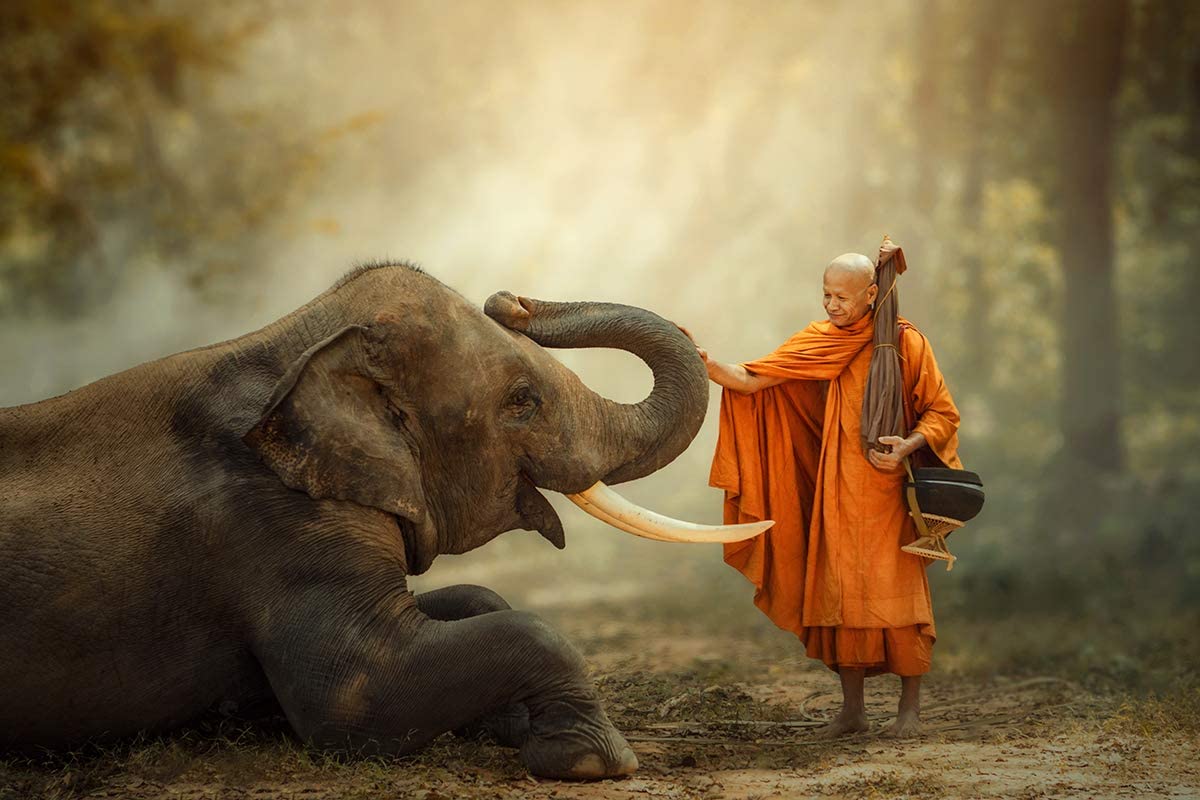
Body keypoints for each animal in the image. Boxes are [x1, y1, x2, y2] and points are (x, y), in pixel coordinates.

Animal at [0, 266, 763, 777]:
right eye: (522, 400)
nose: (511, 298)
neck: (297, 343)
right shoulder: (274, 519)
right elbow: (355, 697)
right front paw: (587, 760)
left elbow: (473, 599)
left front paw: (510, 722)